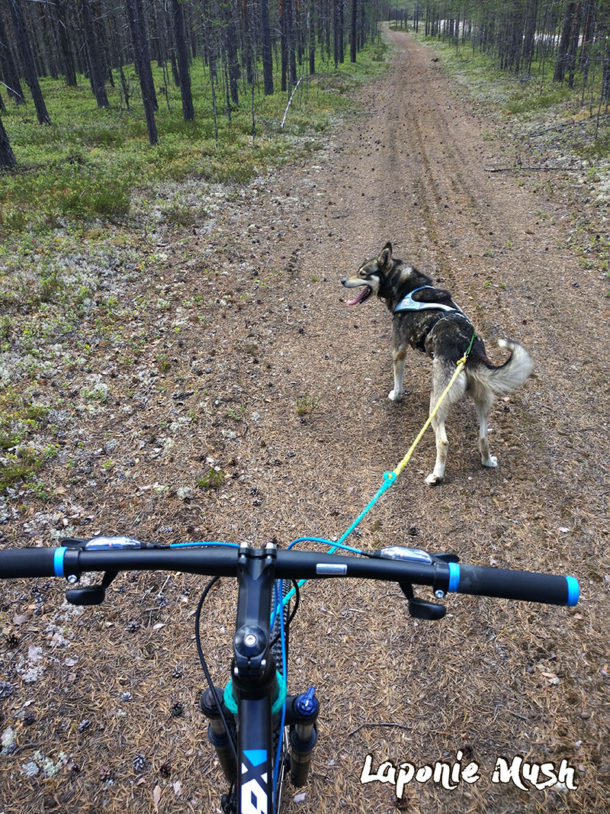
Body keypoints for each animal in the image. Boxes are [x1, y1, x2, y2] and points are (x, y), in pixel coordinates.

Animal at [342, 242, 532, 484]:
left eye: (362, 273)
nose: (342, 280)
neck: (403, 284)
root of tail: (469, 351)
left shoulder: (399, 349)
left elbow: (398, 380)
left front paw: (396, 395)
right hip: (483, 402)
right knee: (483, 437)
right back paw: (487, 461)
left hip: (436, 404)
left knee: (443, 442)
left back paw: (436, 475)